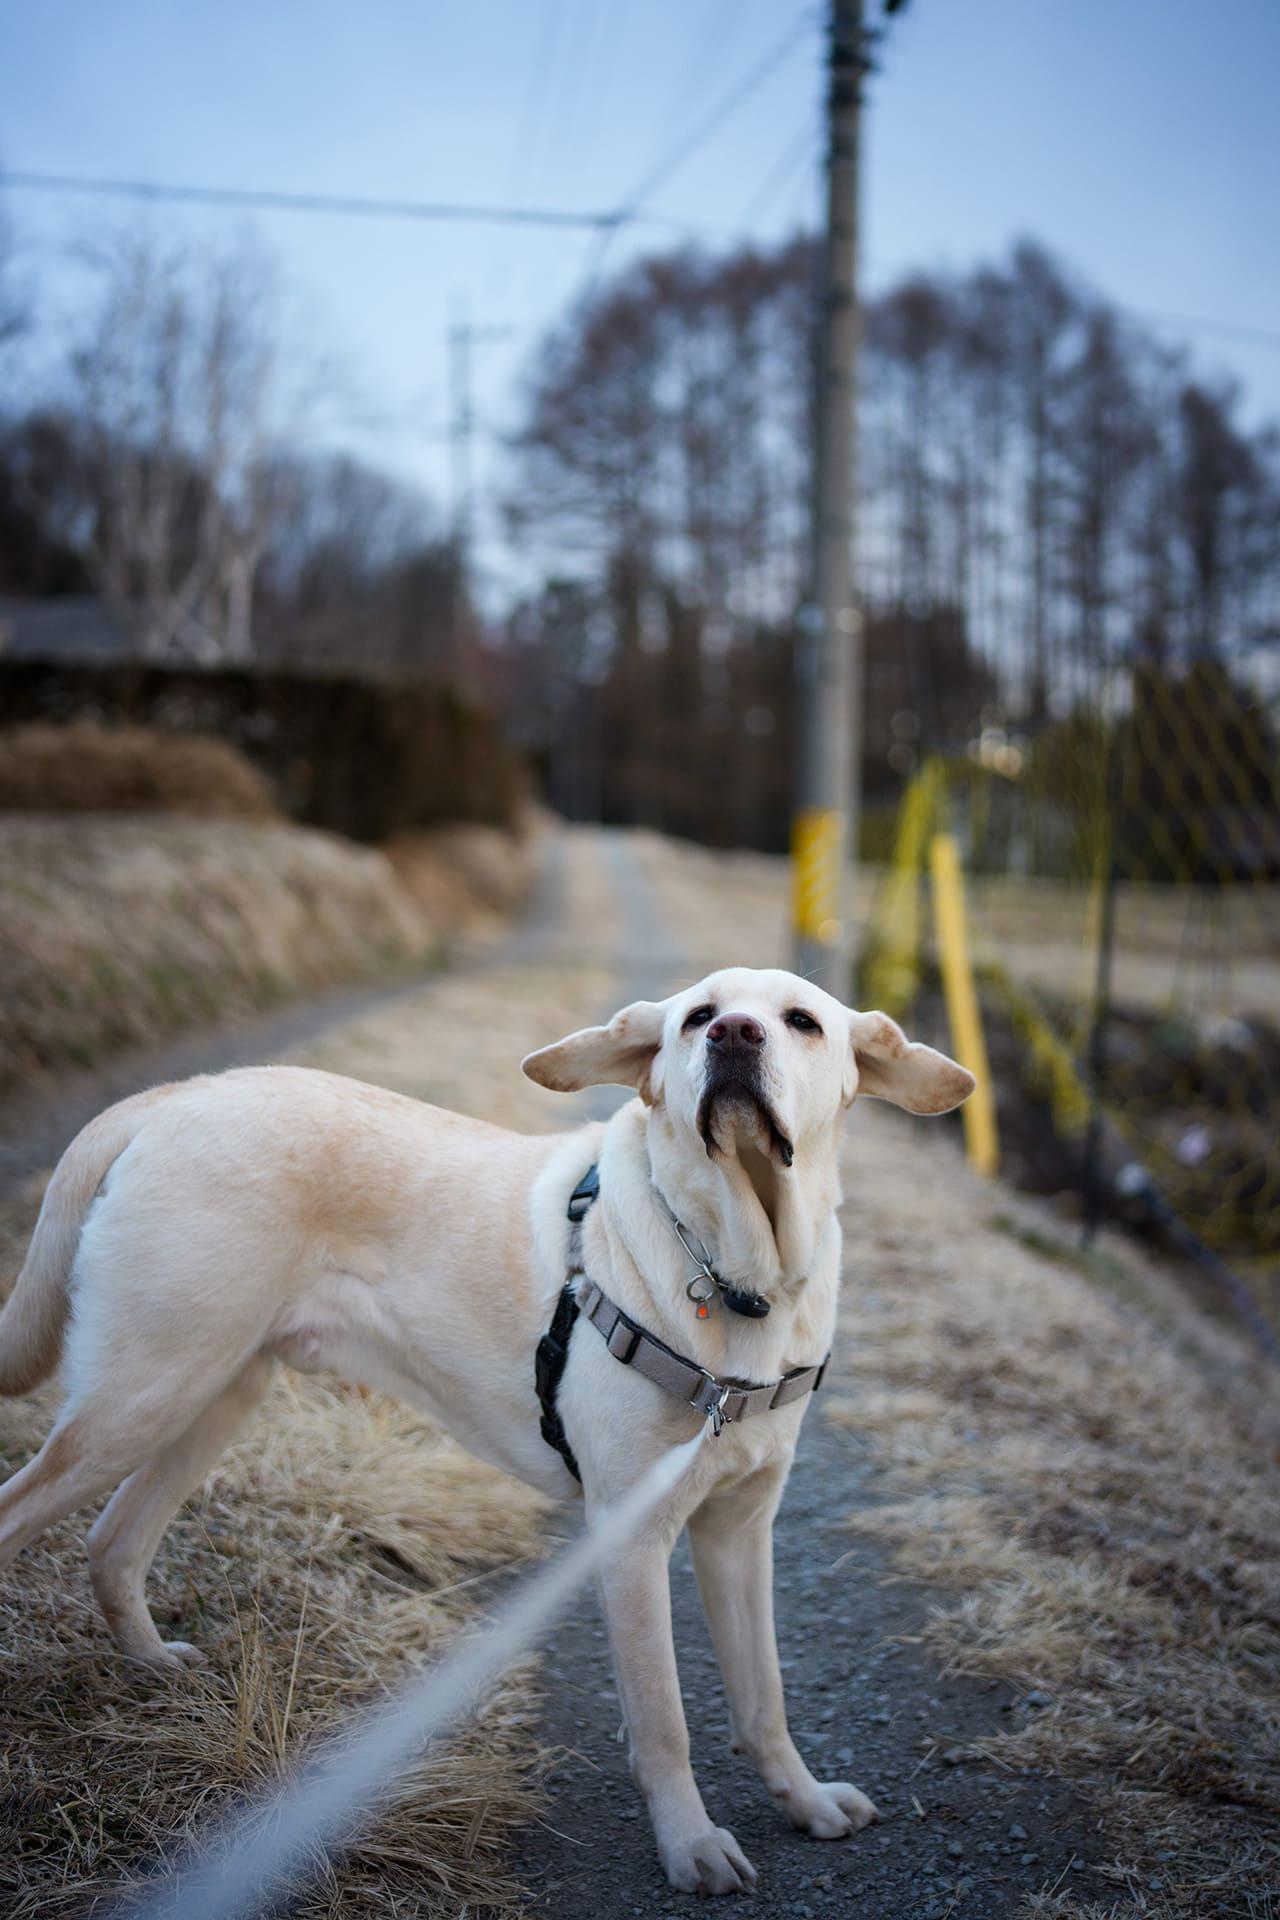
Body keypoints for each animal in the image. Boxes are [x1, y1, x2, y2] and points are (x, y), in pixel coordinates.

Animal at [0, 966, 973, 1895]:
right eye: (698, 1016)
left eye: (801, 1021)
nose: (734, 1035)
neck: (738, 1273)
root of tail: (171, 1099)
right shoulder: (631, 1539)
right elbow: (664, 1721)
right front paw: (691, 1844)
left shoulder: (740, 1530)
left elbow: (763, 1694)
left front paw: (802, 1801)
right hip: (141, 1396)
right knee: (32, 1514)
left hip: (211, 1391)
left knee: (112, 1543)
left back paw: (151, 1666)